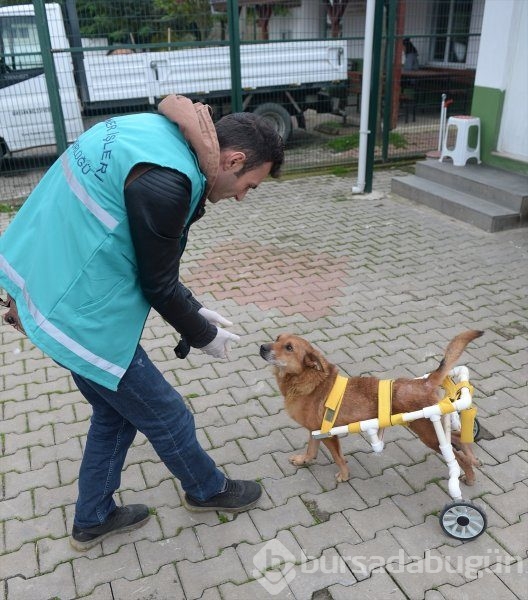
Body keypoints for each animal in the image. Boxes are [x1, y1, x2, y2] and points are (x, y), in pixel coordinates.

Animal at [258, 330, 482, 486]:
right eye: (277, 338)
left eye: (289, 348)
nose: (262, 347)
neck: (308, 380)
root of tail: (423, 383)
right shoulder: (315, 431)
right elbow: (311, 450)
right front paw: (304, 460)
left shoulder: (329, 434)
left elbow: (338, 458)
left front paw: (344, 476)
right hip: (431, 430)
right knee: (459, 436)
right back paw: (473, 458)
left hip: (428, 433)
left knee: (457, 454)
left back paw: (470, 476)